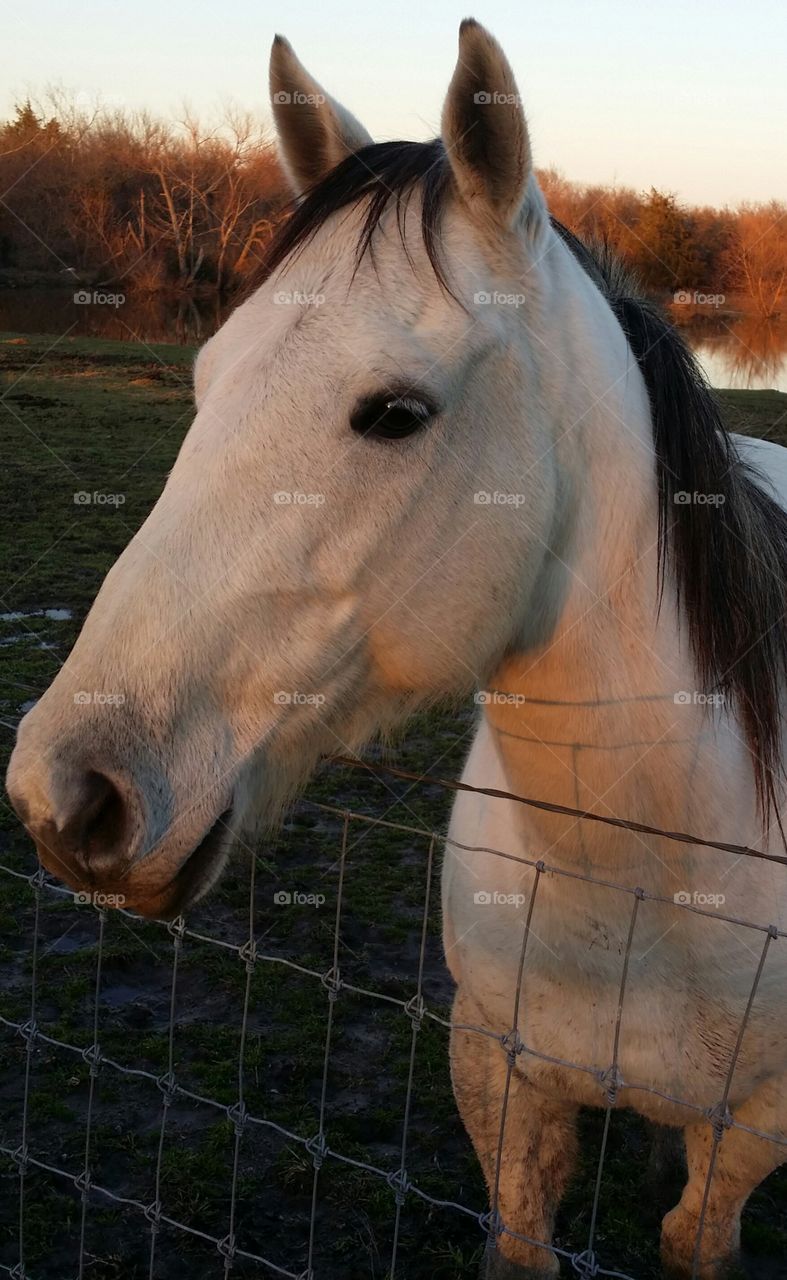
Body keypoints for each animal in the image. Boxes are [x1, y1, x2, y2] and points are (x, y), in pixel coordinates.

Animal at [9, 22, 787, 1280]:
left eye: (392, 412)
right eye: (204, 377)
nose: (67, 795)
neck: (646, 876)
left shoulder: (749, 1136)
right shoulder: (496, 1083)